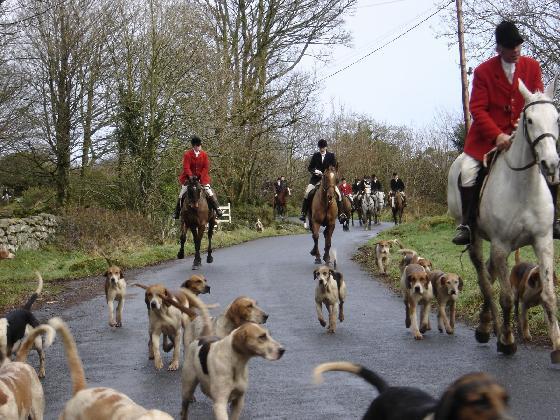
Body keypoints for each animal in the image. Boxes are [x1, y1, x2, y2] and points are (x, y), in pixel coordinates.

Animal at [446, 79, 560, 364]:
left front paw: (556, 345)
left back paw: (487, 323)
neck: (524, 186)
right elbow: (506, 297)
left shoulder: (543, 242)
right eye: (529, 120)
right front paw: (508, 341)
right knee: (485, 281)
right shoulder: (500, 245)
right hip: (476, 239)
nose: (551, 164)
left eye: (556, 118)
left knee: (489, 274)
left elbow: (549, 295)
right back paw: (493, 329)